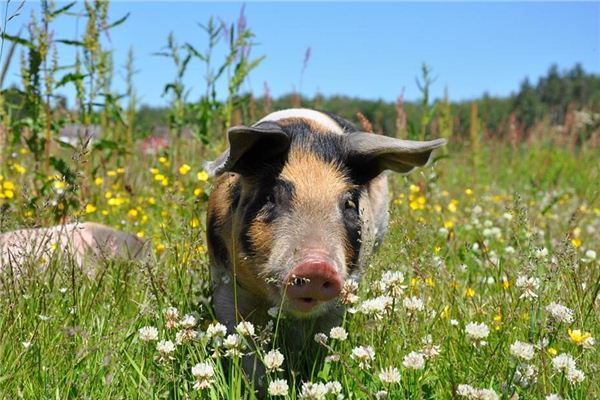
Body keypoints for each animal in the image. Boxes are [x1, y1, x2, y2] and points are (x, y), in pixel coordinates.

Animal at [206, 107, 446, 382]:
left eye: (349, 203)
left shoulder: (344, 289)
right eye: (270, 197)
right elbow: (242, 342)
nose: (316, 266)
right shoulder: (224, 280)